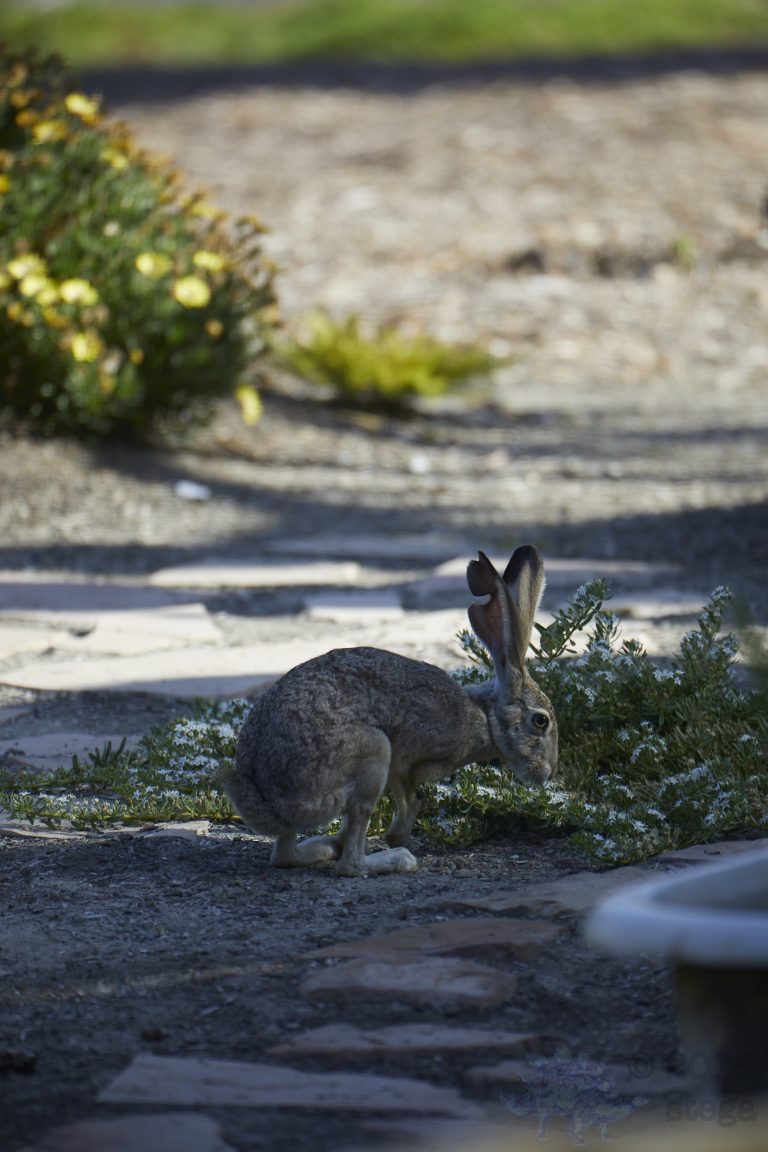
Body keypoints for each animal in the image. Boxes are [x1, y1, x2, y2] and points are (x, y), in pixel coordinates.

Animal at [222, 544, 558, 877]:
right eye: (540, 721)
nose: (546, 774)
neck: (486, 718)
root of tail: (267, 803)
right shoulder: (411, 762)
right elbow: (411, 798)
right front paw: (399, 838)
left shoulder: (400, 767)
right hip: (372, 756)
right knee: (350, 863)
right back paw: (395, 860)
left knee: (285, 853)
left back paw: (324, 847)